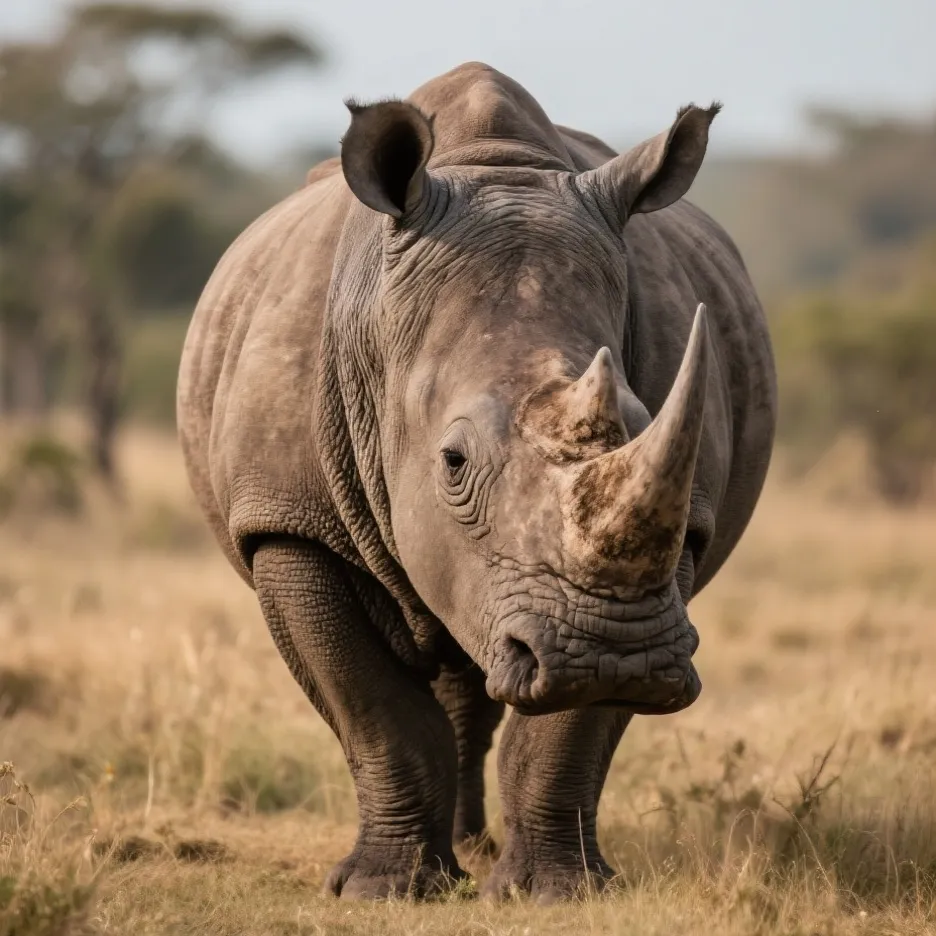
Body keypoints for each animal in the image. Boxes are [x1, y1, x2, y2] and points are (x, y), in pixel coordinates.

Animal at [177, 62, 776, 901]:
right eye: (453, 463)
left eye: (642, 423)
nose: (615, 652)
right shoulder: (284, 519)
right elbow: (374, 710)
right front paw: (382, 890)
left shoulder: (672, 540)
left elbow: (568, 727)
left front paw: (558, 891)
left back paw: (475, 847)